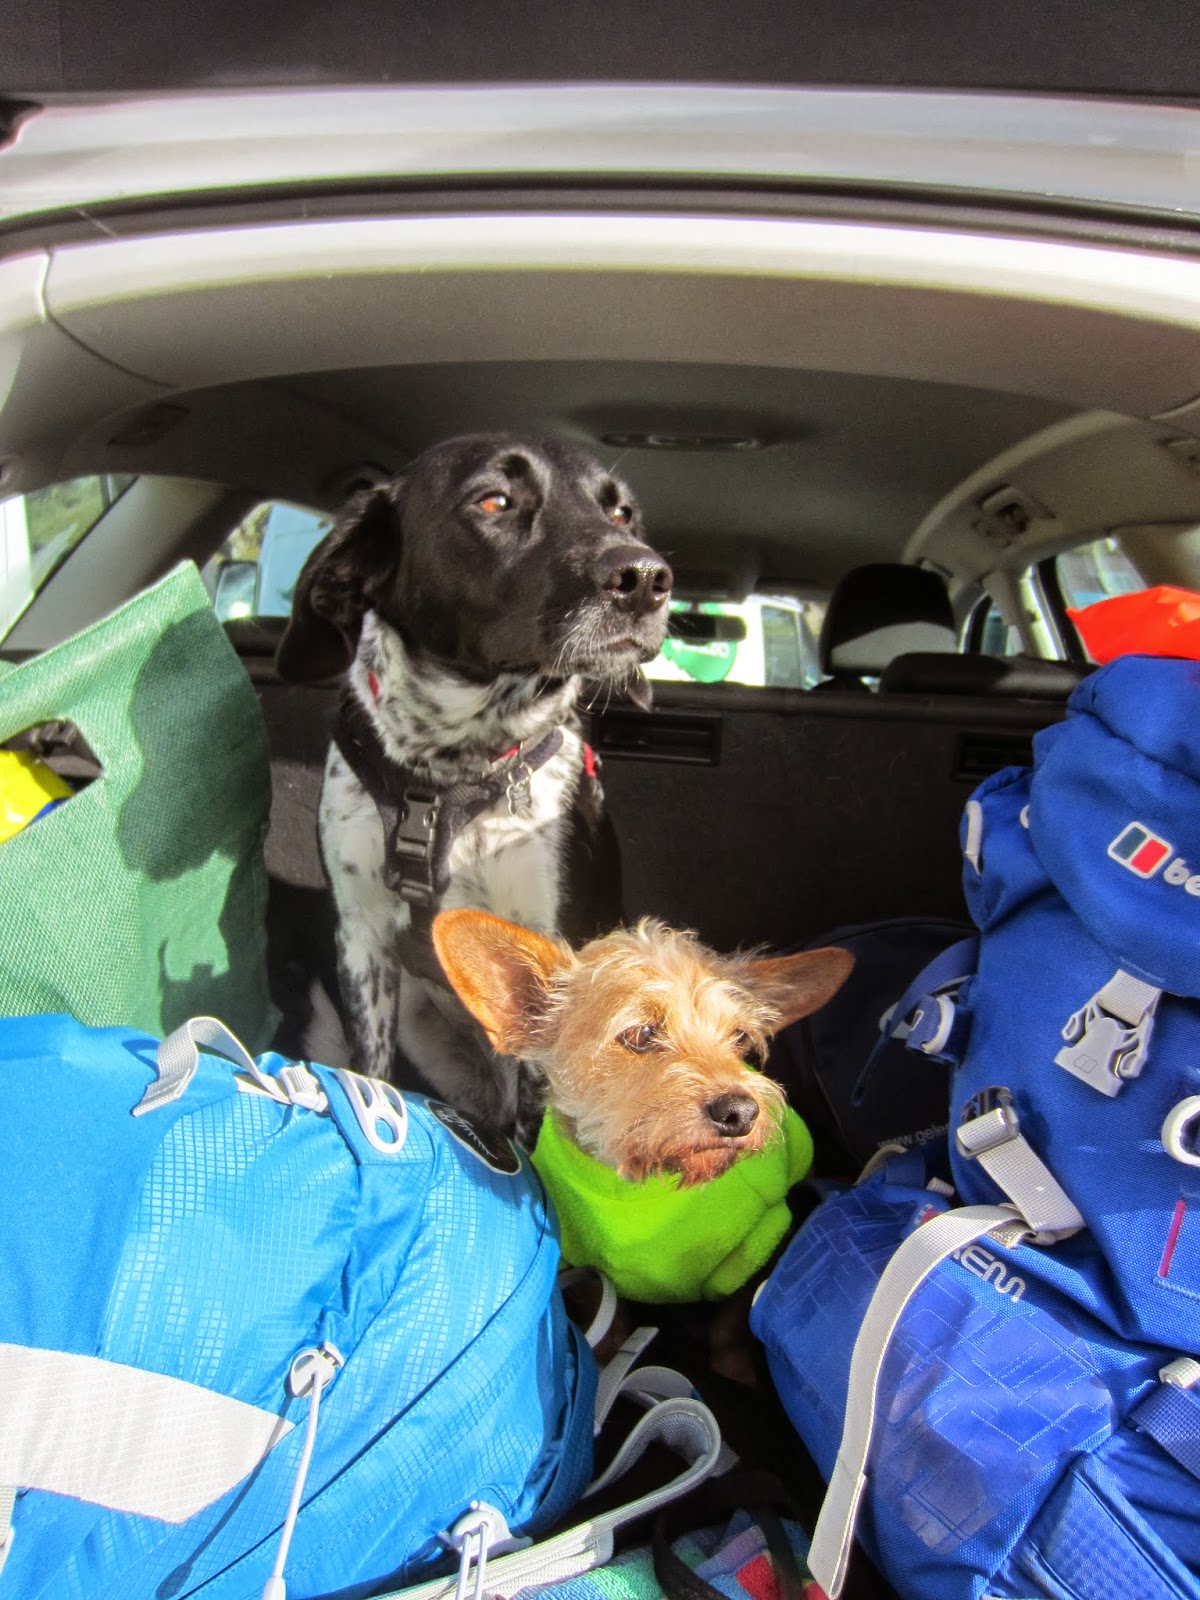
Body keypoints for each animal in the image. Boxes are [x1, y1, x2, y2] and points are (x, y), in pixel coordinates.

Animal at [275, 433, 672, 1136]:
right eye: (494, 500)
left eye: (622, 513)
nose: (648, 578)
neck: (447, 768)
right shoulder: (362, 937)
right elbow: (371, 1066)